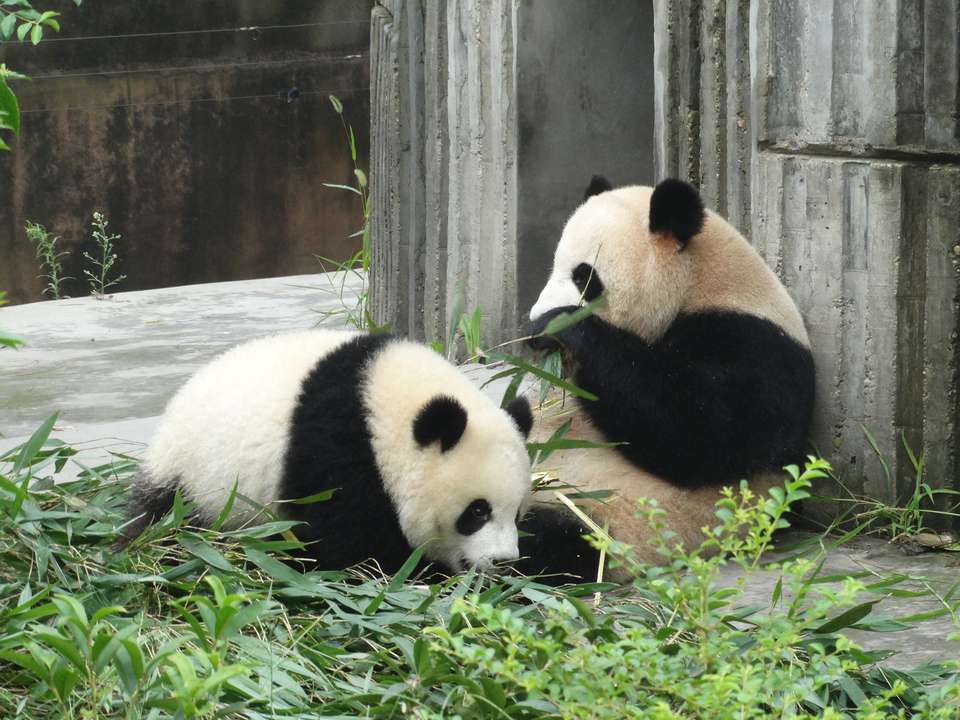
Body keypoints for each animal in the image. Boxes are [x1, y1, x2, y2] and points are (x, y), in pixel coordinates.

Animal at [117, 329, 535, 575]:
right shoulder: (336, 451)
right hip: (196, 484)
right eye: (477, 512)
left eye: (516, 512)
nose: (502, 561)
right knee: (163, 525)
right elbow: (349, 550)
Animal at [516, 176, 816, 582]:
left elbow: (694, 435)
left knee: (543, 539)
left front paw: (560, 325)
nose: (534, 324)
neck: (705, 284)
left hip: (605, 516)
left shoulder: (758, 349)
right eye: (553, 268)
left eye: (585, 277)